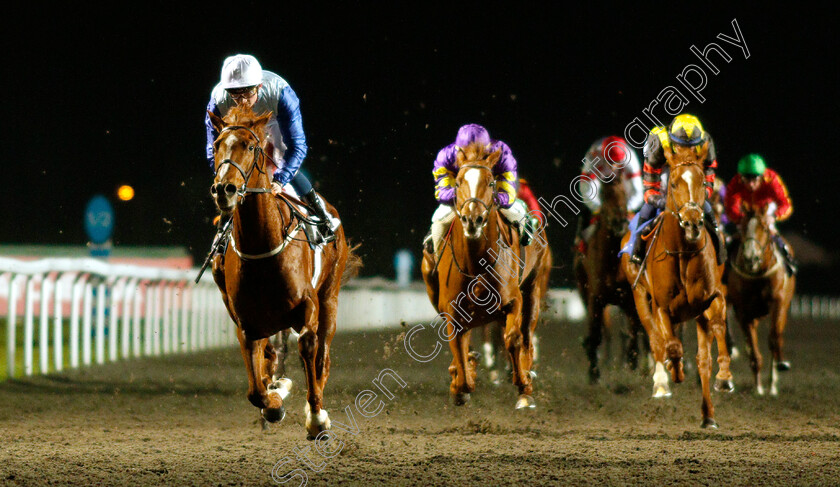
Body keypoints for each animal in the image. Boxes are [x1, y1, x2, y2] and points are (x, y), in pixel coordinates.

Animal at [208, 107, 360, 442]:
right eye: (217, 145)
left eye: (250, 146)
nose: (225, 189)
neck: (263, 246)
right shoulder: (246, 324)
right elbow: (256, 389)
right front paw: (275, 400)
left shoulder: (307, 306)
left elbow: (308, 347)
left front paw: (316, 418)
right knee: (272, 356)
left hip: (329, 297)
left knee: (322, 356)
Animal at [420, 143, 552, 410]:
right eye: (459, 182)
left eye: (491, 182)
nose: (473, 219)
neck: (476, 264)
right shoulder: (452, 309)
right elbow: (459, 349)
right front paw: (460, 382)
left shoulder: (513, 301)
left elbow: (513, 338)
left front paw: (523, 386)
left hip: (534, 287)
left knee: (527, 334)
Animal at [576, 168, 648, 386]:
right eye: (605, 194)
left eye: (624, 193)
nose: (619, 222)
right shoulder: (595, 299)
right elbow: (595, 334)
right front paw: (594, 374)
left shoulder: (631, 299)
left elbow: (633, 335)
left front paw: (632, 370)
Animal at [616, 143, 736, 428]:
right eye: (673, 183)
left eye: (702, 181)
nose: (692, 222)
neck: (683, 253)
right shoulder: (661, 306)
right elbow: (669, 345)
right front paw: (673, 371)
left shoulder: (712, 298)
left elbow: (717, 330)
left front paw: (725, 377)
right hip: (640, 297)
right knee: (656, 339)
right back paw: (662, 381)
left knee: (702, 359)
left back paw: (708, 415)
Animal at [728, 208, 796, 394]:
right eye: (743, 228)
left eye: (765, 228)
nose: (751, 258)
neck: (757, 275)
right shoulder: (743, 312)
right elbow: (753, 348)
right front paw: (758, 388)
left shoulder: (778, 303)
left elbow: (774, 337)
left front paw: (773, 380)